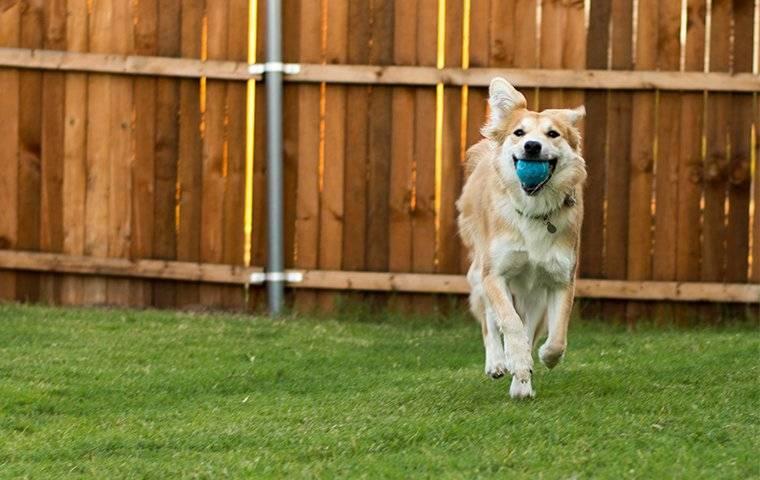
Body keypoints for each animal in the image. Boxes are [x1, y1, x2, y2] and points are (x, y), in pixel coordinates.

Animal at [454, 79, 584, 400]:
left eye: (553, 134)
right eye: (519, 133)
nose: (532, 146)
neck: (534, 209)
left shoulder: (560, 279)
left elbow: (554, 336)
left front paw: (539, 361)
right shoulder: (495, 274)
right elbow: (509, 323)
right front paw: (516, 361)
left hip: (532, 293)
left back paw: (520, 381)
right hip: (479, 271)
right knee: (490, 320)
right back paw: (498, 362)